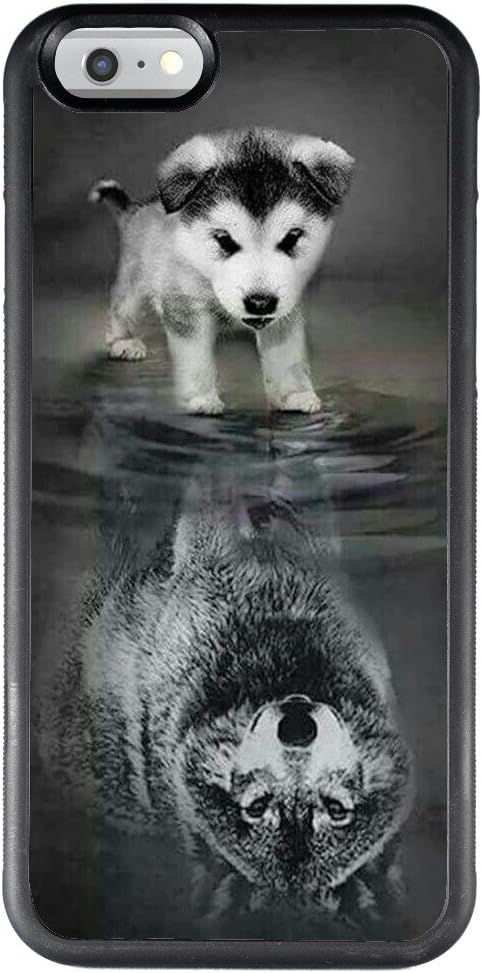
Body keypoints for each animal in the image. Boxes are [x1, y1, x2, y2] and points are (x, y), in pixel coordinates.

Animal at [90, 128, 354, 415]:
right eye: (224, 240)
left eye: (292, 237)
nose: (260, 303)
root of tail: (138, 209)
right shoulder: (186, 308)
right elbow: (194, 356)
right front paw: (200, 399)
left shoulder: (285, 307)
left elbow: (287, 354)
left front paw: (294, 394)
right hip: (136, 279)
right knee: (122, 307)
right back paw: (122, 341)